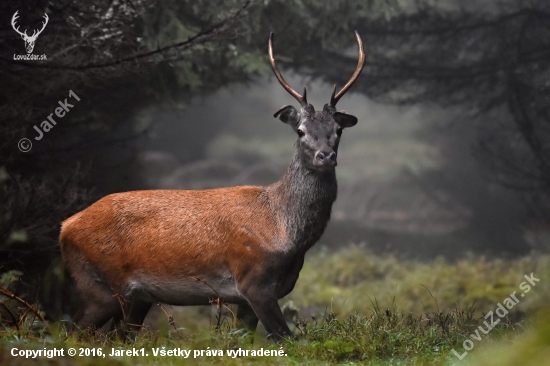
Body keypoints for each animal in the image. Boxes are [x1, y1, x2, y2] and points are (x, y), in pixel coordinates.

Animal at [60, 31, 366, 340]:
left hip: (136, 297)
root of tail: (65, 226)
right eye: (301, 131)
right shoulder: (253, 280)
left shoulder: (248, 297)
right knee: (73, 330)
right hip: (100, 286)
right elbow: (285, 338)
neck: (285, 230)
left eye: (338, 130)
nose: (325, 155)